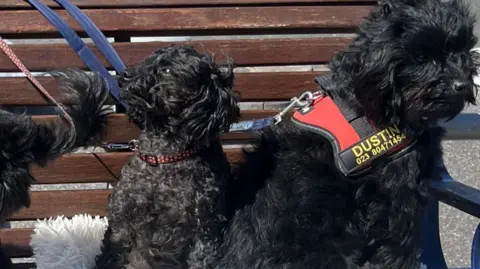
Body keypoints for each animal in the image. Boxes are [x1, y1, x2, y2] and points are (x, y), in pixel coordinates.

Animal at [94, 45, 242, 266]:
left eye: (167, 70)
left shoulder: (205, 229)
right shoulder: (121, 223)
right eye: (148, 60)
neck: (165, 159)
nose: (125, 74)